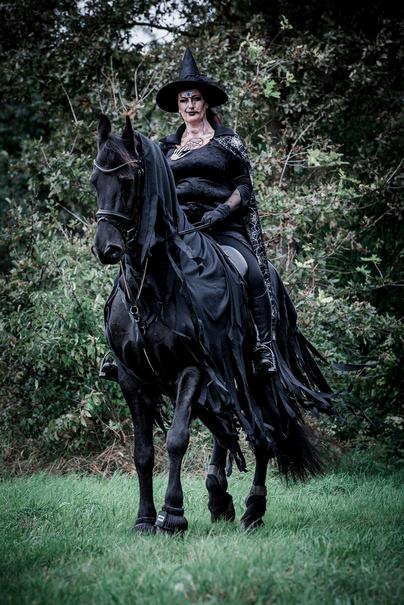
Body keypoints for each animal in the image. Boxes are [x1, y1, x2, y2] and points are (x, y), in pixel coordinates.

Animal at [91, 114, 333, 534]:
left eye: (128, 180)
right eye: (95, 181)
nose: (106, 248)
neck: (152, 287)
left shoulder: (192, 368)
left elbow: (176, 439)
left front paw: (172, 516)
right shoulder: (132, 376)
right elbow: (143, 451)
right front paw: (144, 519)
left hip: (252, 374)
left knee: (262, 431)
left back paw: (253, 508)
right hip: (224, 373)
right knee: (228, 426)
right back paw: (219, 496)